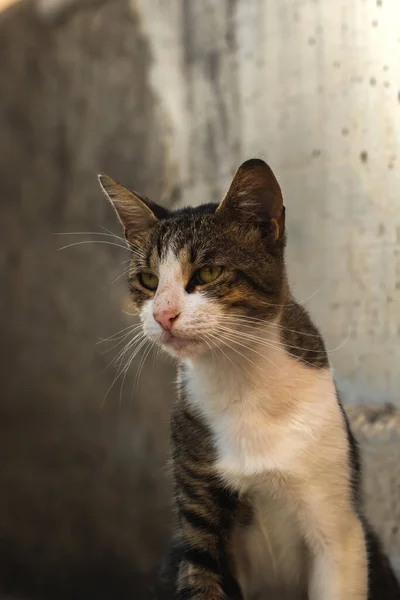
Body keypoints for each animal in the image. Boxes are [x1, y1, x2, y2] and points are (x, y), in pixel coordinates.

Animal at [97, 159, 400, 600]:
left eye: (207, 272)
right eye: (149, 280)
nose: (163, 314)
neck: (242, 381)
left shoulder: (338, 529)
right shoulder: (197, 525)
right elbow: (202, 575)